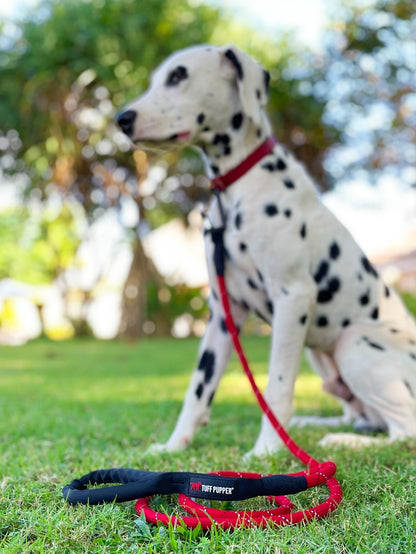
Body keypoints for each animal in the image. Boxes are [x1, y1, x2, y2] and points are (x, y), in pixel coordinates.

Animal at [116, 44, 416, 452]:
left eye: (178, 76)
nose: (122, 119)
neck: (238, 187)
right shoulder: (222, 315)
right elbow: (197, 391)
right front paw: (174, 446)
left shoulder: (293, 298)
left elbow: (277, 388)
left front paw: (266, 452)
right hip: (322, 355)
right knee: (366, 418)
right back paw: (317, 424)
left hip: (354, 342)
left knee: (404, 430)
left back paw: (338, 440)